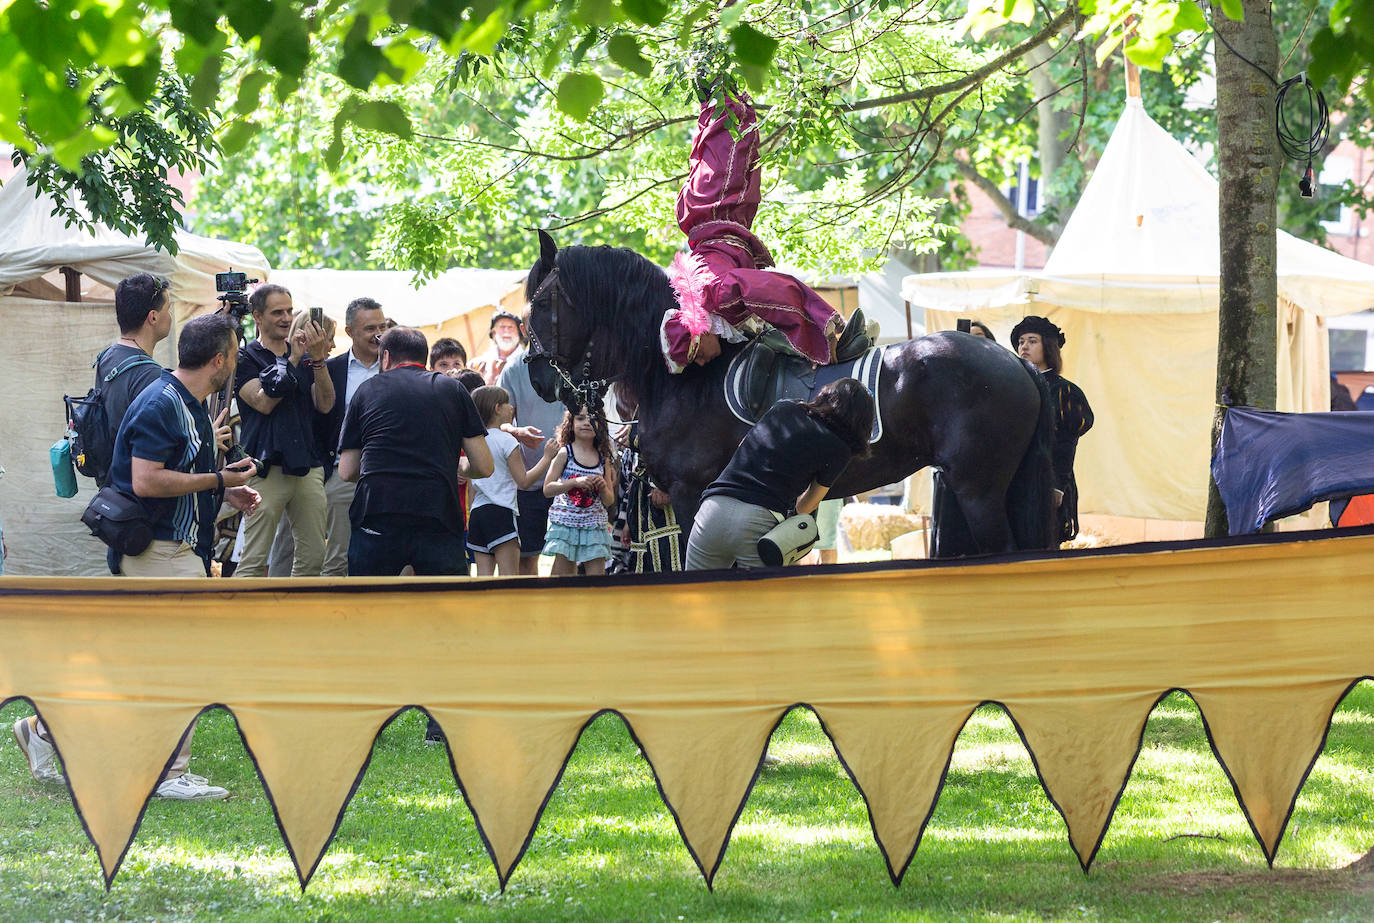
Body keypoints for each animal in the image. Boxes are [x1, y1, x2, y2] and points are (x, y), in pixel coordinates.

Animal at [522, 234, 1049, 557]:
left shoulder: (693, 493)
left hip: (978, 488)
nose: (538, 380)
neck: (682, 376)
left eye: (542, 303)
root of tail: (1016, 362)